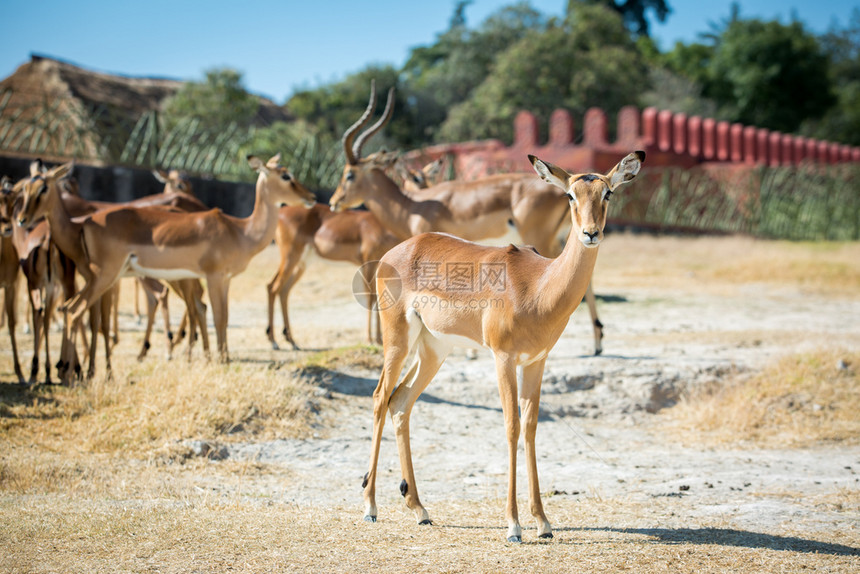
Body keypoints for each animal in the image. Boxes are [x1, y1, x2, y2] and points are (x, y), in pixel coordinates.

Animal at [15, 155, 316, 378]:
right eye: (286, 175)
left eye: (42, 187)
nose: (311, 196)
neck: (240, 231)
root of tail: (86, 222)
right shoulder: (214, 276)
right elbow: (219, 318)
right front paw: (222, 361)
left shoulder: (226, 279)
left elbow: (224, 316)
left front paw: (223, 357)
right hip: (103, 277)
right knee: (74, 311)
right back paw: (70, 373)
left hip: (101, 278)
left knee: (69, 309)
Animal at [332, 84, 608, 358]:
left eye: (349, 174)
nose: (334, 202)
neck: (414, 206)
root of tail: (561, 188)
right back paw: (597, 342)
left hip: (543, 240)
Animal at [358, 150, 644, 544]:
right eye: (570, 195)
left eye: (608, 193)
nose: (591, 233)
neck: (538, 287)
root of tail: (397, 251)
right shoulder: (503, 358)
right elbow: (511, 426)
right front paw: (513, 526)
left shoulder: (536, 361)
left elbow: (531, 427)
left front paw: (543, 522)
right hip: (398, 341)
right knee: (378, 397)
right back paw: (370, 507)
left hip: (434, 350)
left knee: (400, 401)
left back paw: (420, 510)